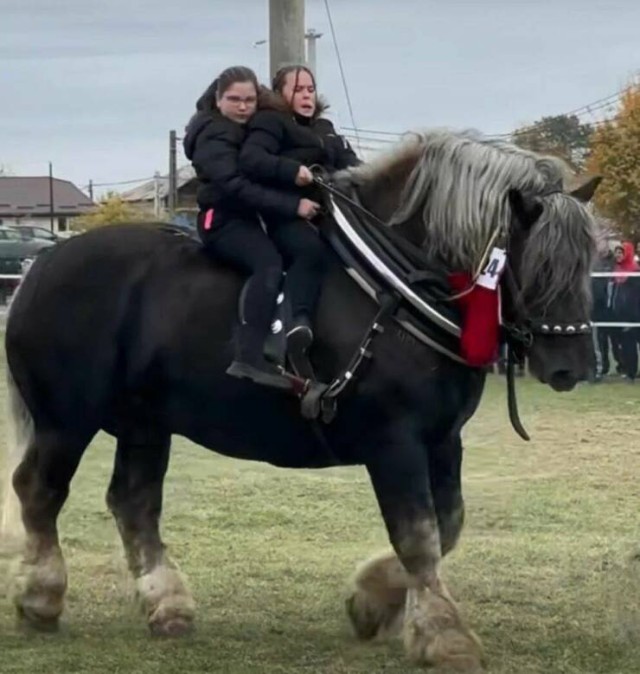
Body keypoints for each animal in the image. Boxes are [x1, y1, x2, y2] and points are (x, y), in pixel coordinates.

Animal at [1, 130, 600, 668]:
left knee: (133, 502)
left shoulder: (443, 440)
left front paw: (372, 602)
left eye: (586, 259)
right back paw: (41, 597)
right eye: (540, 264)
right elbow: (419, 537)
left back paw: (166, 604)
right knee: (40, 491)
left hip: (144, 422)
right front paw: (443, 637)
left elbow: (448, 524)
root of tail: (40, 268)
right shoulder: (395, 442)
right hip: (66, 421)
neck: (391, 289)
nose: (569, 365)